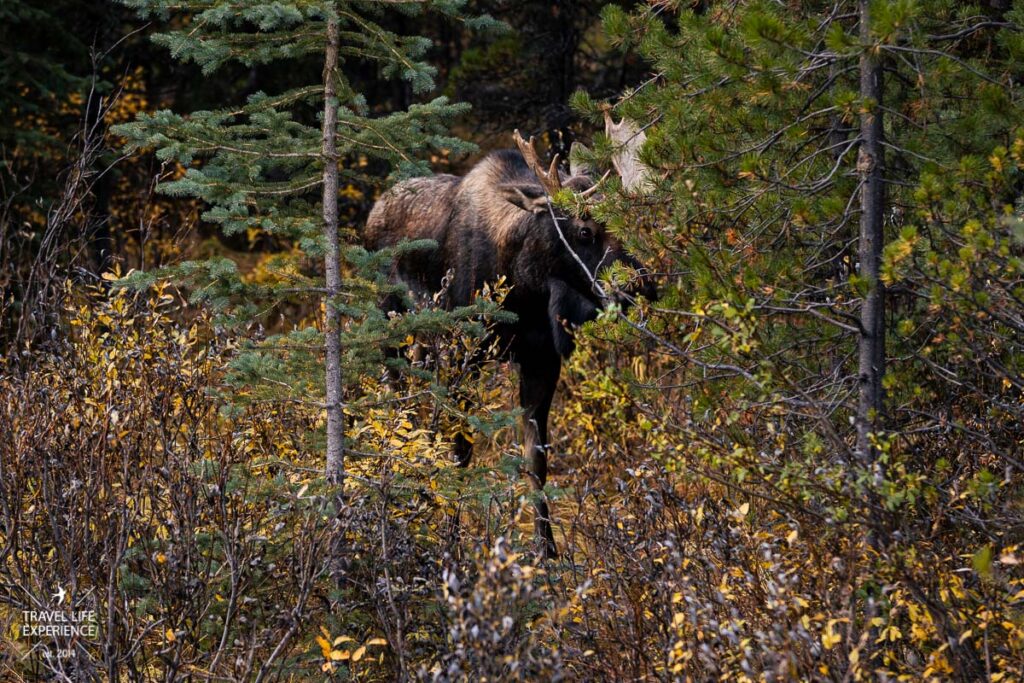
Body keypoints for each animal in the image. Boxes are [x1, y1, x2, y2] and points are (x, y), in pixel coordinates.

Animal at [368, 118, 655, 557]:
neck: (522, 287)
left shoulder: (541, 360)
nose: (642, 284)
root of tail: (373, 211)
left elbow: (536, 459)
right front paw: (450, 538)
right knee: (394, 400)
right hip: (390, 327)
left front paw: (547, 551)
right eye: (584, 230)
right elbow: (461, 449)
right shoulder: (464, 355)